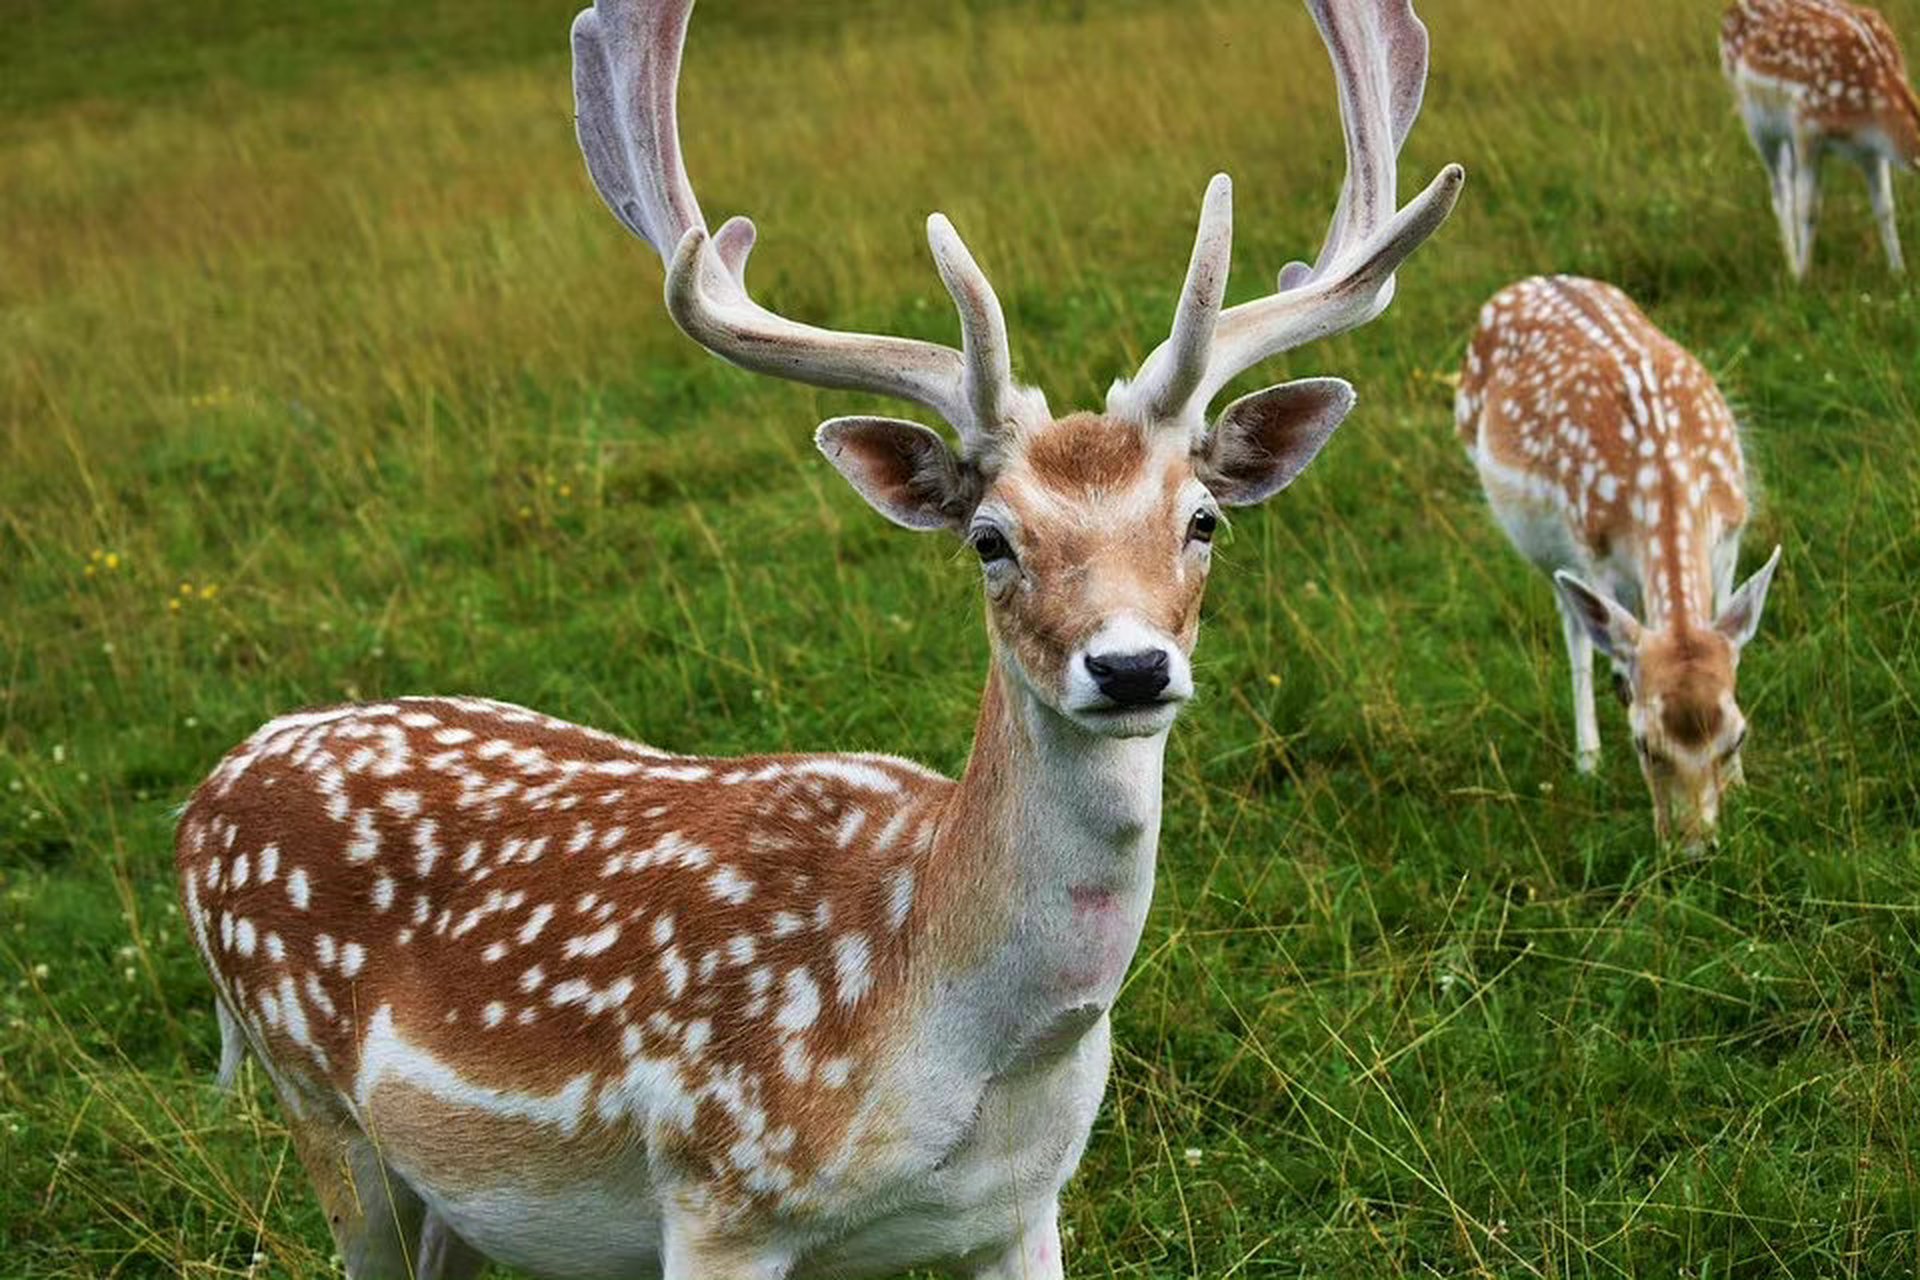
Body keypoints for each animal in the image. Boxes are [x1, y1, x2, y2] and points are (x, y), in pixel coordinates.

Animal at [173, 1, 1462, 1277]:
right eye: (990, 538)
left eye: (1203, 519)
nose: (1131, 664)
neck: (969, 1044)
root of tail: (207, 793)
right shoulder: (719, 1191)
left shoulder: (1026, 1202)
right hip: (317, 1102)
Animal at [1456, 275, 1783, 847]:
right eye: (1643, 744)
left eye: (1737, 736)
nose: (1694, 846)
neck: (1664, 475)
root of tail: (1530, 281)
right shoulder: (1594, 552)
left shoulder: (1730, 535)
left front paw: (1741, 787)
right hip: (1546, 544)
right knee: (1574, 627)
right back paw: (1587, 758)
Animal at [1721, 0, 1920, 277]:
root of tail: (1730, 10)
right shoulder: (1807, 129)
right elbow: (1809, 209)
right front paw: (1804, 278)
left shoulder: (1872, 149)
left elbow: (1885, 207)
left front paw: (1898, 272)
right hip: (1755, 120)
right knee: (1780, 191)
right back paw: (1791, 266)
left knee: (1788, 180)